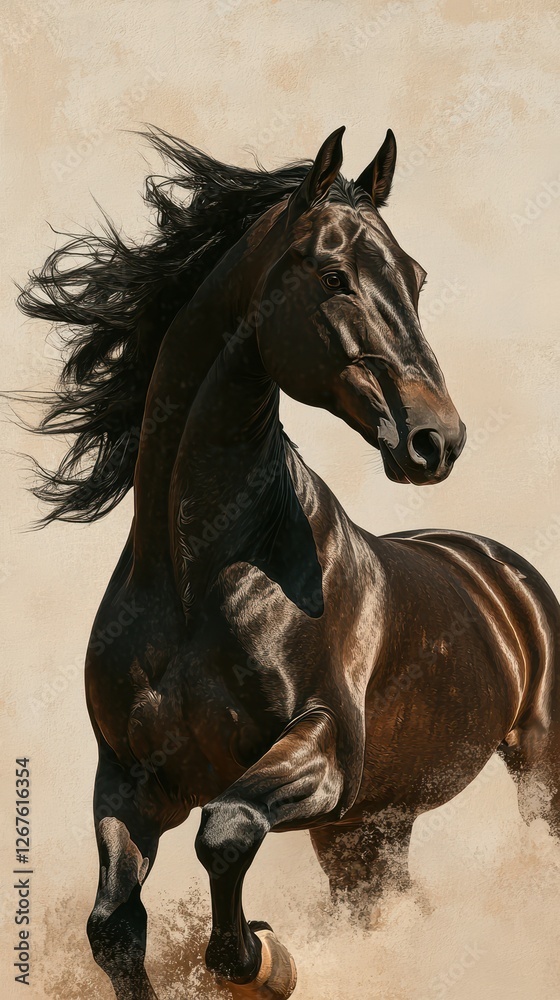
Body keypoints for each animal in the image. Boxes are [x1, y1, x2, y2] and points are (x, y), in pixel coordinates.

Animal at [19, 125, 560, 1000]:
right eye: (334, 276)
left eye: (415, 277)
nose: (436, 441)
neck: (195, 576)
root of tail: (505, 573)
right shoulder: (130, 779)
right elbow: (114, 929)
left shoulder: (324, 753)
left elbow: (226, 829)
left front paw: (261, 958)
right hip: (369, 828)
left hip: (533, 770)